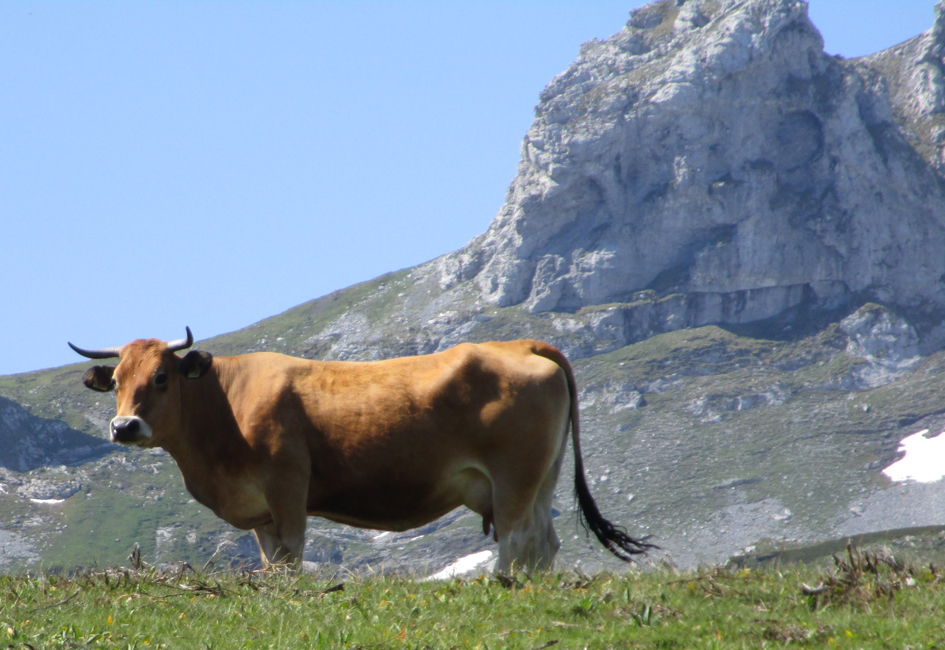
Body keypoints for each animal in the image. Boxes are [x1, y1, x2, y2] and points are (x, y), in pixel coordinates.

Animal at [70, 326, 652, 568]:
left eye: (162, 376)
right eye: (116, 378)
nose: (124, 427)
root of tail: (520, 344)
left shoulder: (288, 486)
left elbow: (290, 558)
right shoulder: (259, 509)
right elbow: (270, 562)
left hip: (514, 477)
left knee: (516, 542)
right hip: (542, 479)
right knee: (545, 544)